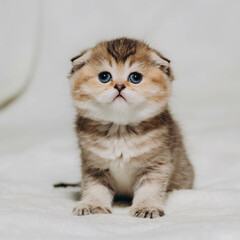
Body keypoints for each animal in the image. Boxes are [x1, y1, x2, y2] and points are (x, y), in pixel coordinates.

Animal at [68, 37, 195, 218]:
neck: (120, 132)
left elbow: (150, 188)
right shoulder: (93, 165)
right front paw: (94, 205)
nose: (119, 86)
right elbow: (95, 188)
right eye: (104, 76)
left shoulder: (157, 164)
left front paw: (147, 207)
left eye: (135, 77)